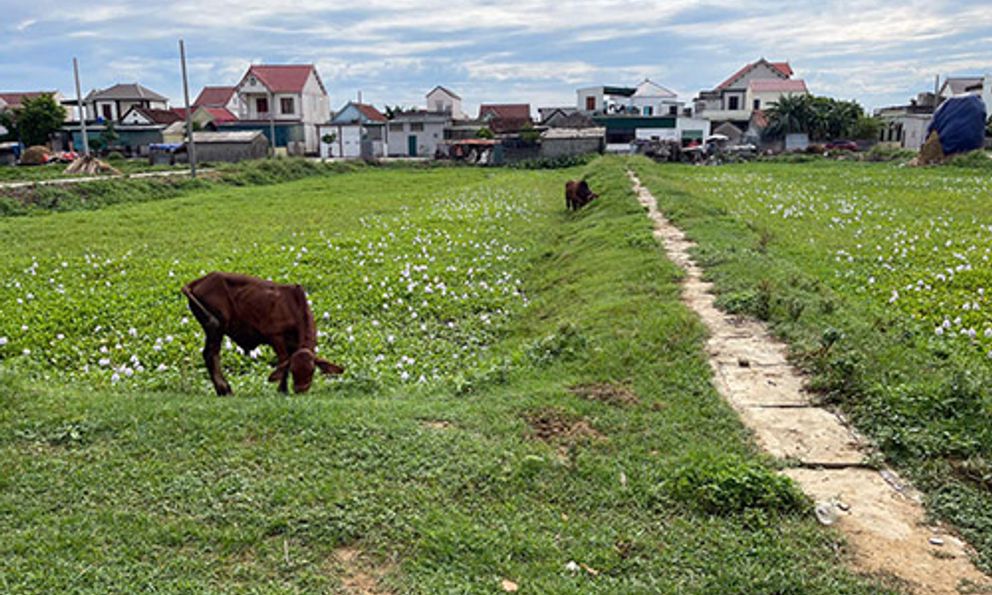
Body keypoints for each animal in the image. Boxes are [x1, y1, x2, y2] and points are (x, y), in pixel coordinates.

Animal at [183, 272, 344, 396]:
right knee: (211, 354)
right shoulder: (276, 337)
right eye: (293, 370)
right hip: (214, 327)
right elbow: (283, 361)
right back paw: (224, 390)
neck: (294, 306)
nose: (300, 390)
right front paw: (282, 390)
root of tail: (198, 281)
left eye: (312, 370)